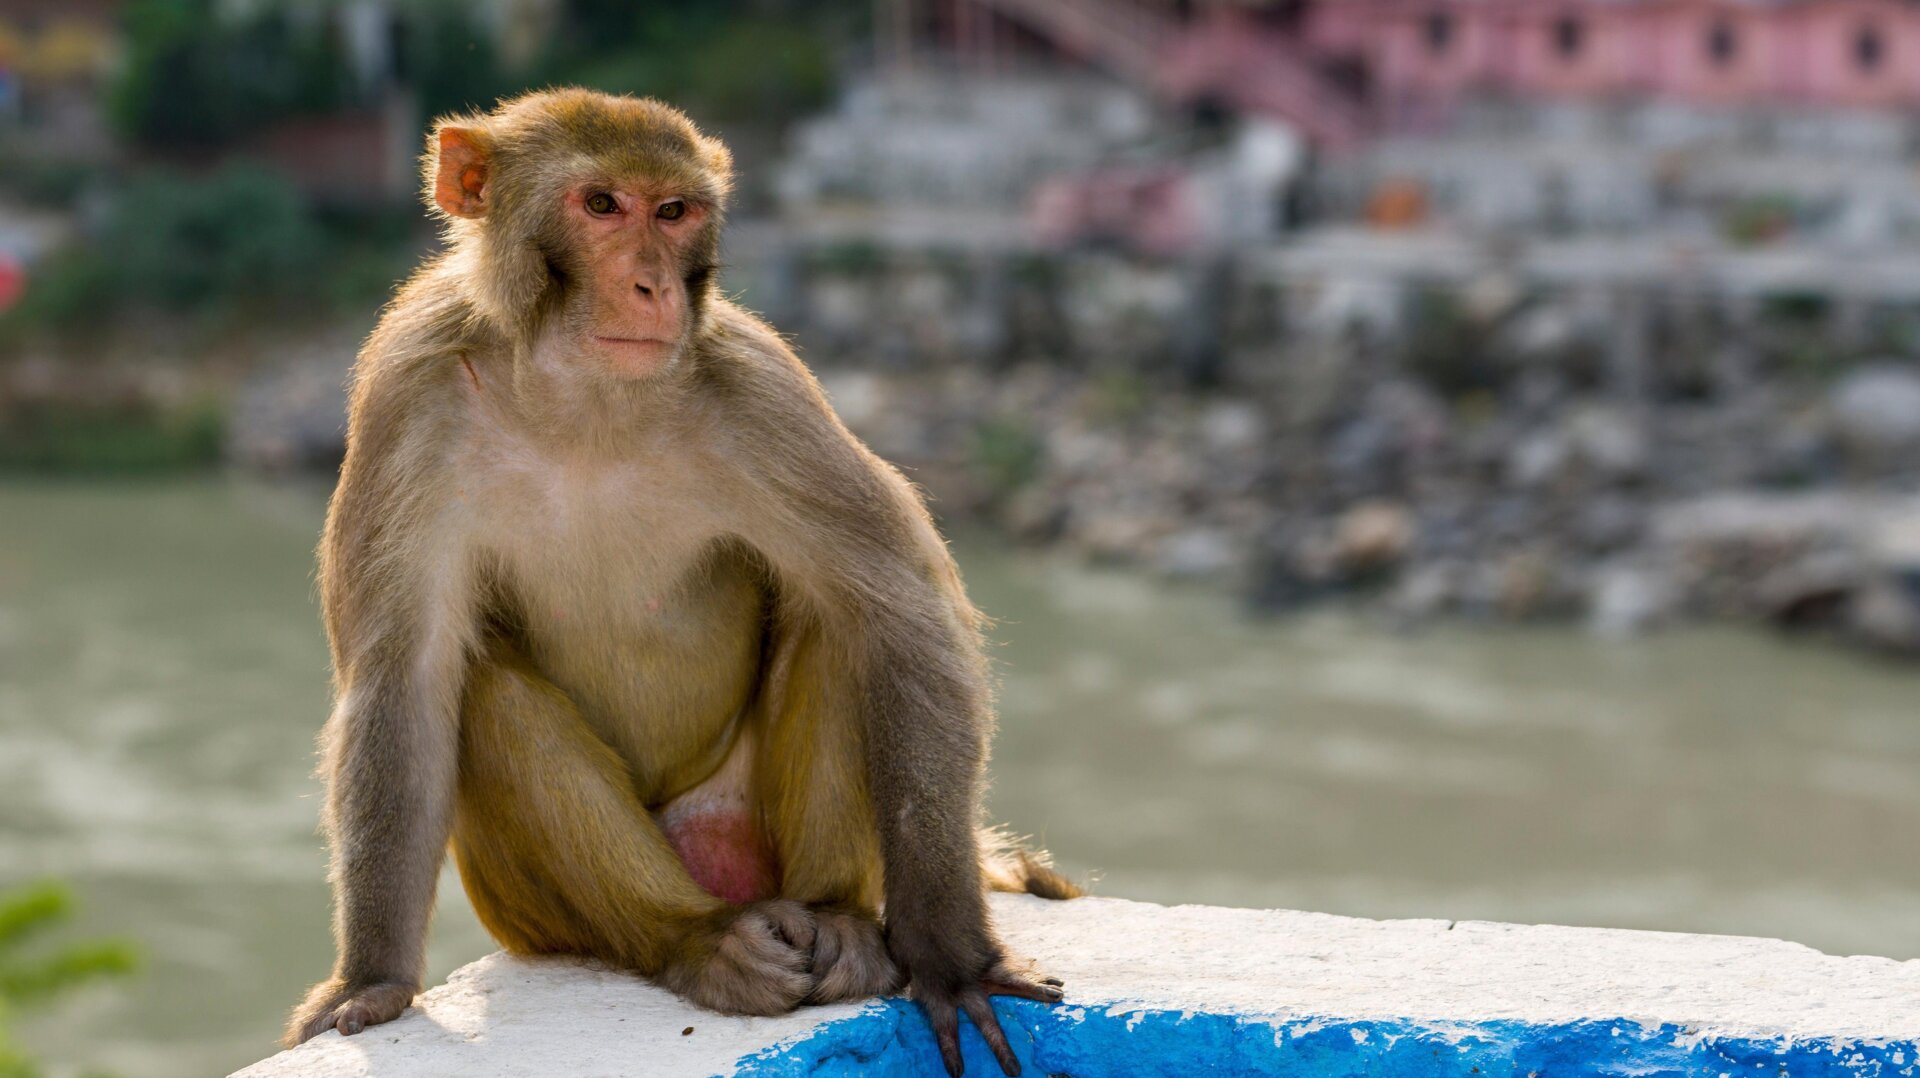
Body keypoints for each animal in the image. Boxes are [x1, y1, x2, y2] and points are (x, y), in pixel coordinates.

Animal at [282, 89, 1080, 1078]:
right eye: (600, 205)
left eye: (674, 212)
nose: (653, 287)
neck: (582, 394)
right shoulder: (409, 385)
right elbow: (405, 677)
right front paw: (372, 981)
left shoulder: (761, 385)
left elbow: (904, 615)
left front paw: (948, 955)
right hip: (536, 913)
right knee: (489, 693)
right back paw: (692, 939)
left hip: (747, 825)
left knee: (842, 621)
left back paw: (839, 924)